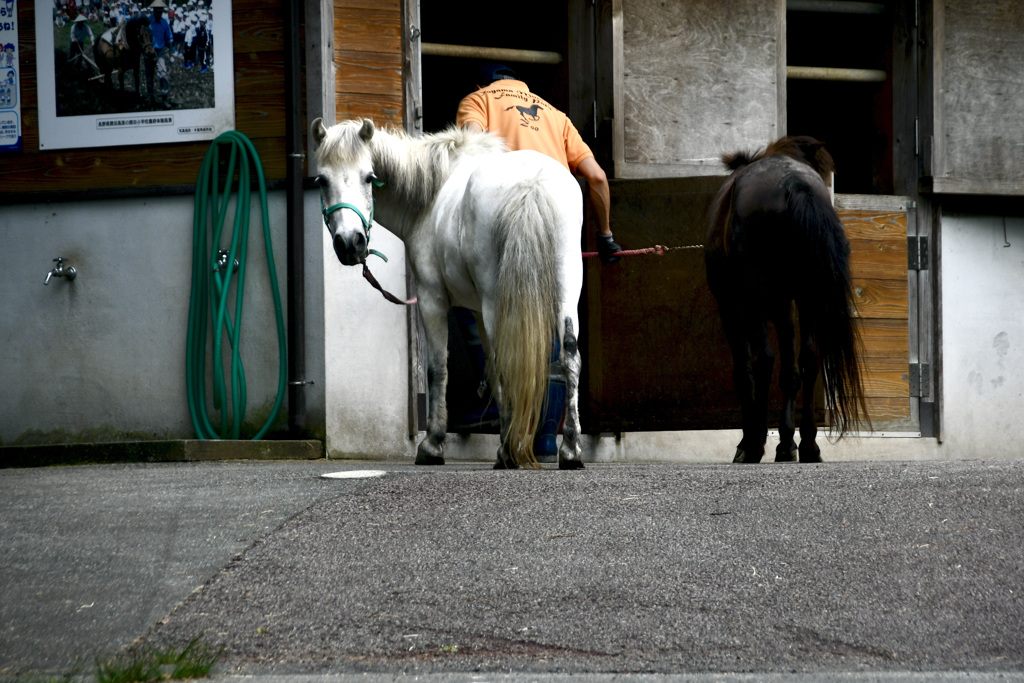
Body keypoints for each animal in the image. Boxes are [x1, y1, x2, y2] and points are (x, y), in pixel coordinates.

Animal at [311, 118, 585, 471]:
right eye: (321, 180)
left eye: (369, 177)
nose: (350, 243)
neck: (430, 196)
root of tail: (530, 184)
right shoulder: (479, 310)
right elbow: (491, 368)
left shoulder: (432, 299)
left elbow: (437, 368)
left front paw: (433, 444)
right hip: (565, 289)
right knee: (569, 356)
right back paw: (569, 449)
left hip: (499, 299)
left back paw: (512, 451)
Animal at [708, 135, 868, 462]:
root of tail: (795, 183)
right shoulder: (791, 308)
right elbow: (794, 370)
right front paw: (787, 440)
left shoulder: (732, 306)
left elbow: (745, 370)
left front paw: (750, 440)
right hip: (807, 299)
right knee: (808, 361)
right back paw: (806, 445)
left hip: (757, 302)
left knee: (764, 361)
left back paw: (756, 445)